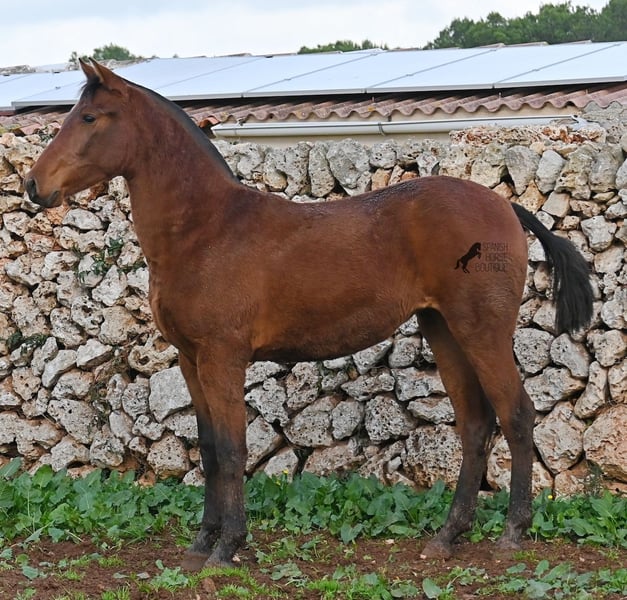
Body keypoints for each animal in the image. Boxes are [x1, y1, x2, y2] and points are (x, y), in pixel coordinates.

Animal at [26, 59, 593, 568]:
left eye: (90, 117)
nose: (34, 185)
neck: (206, 230)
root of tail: (503, 206)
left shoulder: (223, 358)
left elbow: (232, 449)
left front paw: (228, 548)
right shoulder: (190, 360)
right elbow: (208, 450)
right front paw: (201, 544)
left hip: (483, 332)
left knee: (516, 415)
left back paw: (513, 532)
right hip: (444, 330)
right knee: (475, 424)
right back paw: (448, 536)